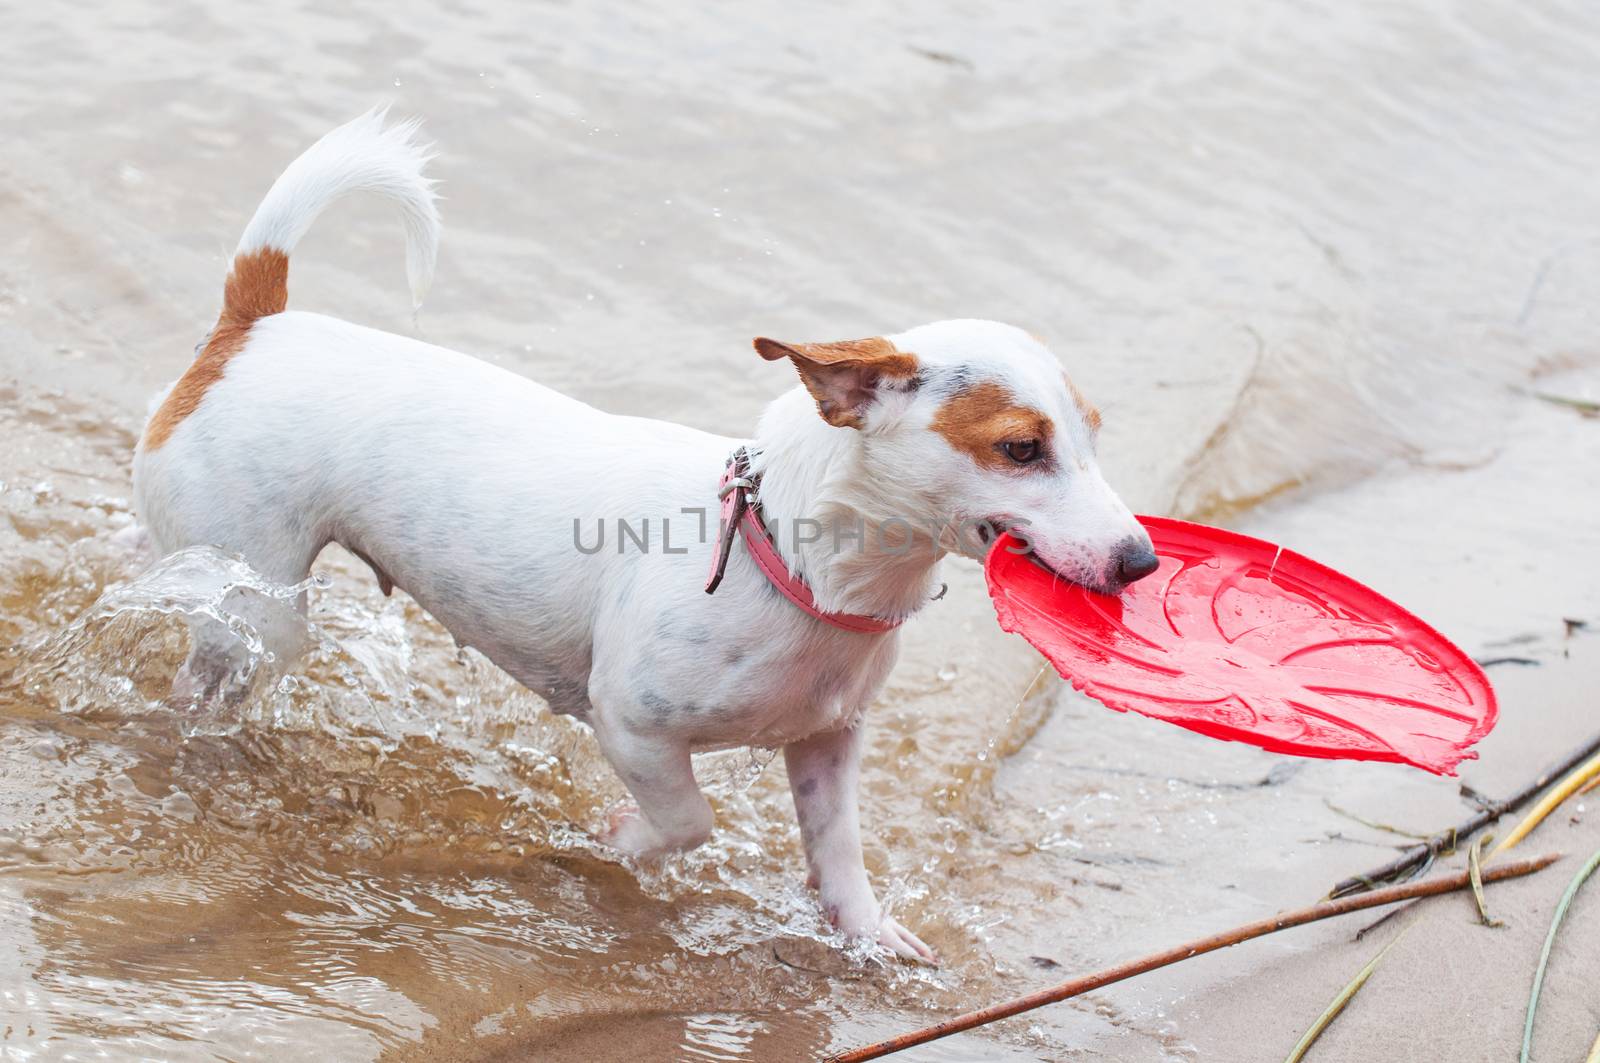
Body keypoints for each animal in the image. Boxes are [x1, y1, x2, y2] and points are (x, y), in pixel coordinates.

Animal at [131, 109, 1158, 960]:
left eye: (1095, 435)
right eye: (1020, 447)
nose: (1142, 560)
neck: (787, 559)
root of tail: (255, 327)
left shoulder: (828, 742)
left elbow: (839, 848)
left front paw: (865, 933)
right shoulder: (631, 726)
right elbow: (687, 821)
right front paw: (618, 843)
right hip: (253, 605)